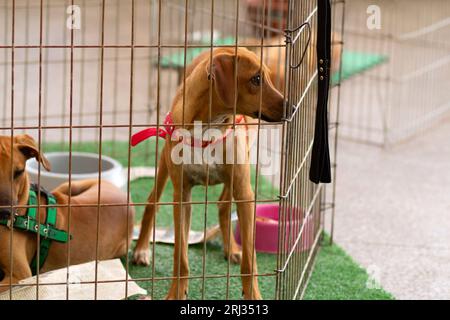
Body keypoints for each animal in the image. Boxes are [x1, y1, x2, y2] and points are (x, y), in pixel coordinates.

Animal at [132, 48, 284, 300]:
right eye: (256, 79)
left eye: (269, 77)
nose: (291, 107)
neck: (209, 128)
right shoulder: (182, 196)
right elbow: (180, 257)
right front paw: (176, 292)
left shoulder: (245, 193)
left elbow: (250, 261)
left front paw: (253, 294)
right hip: (163, 163)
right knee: (152, 201)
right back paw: (142, 249)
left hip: (238, 174)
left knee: (223, 205)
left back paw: (231, 247)